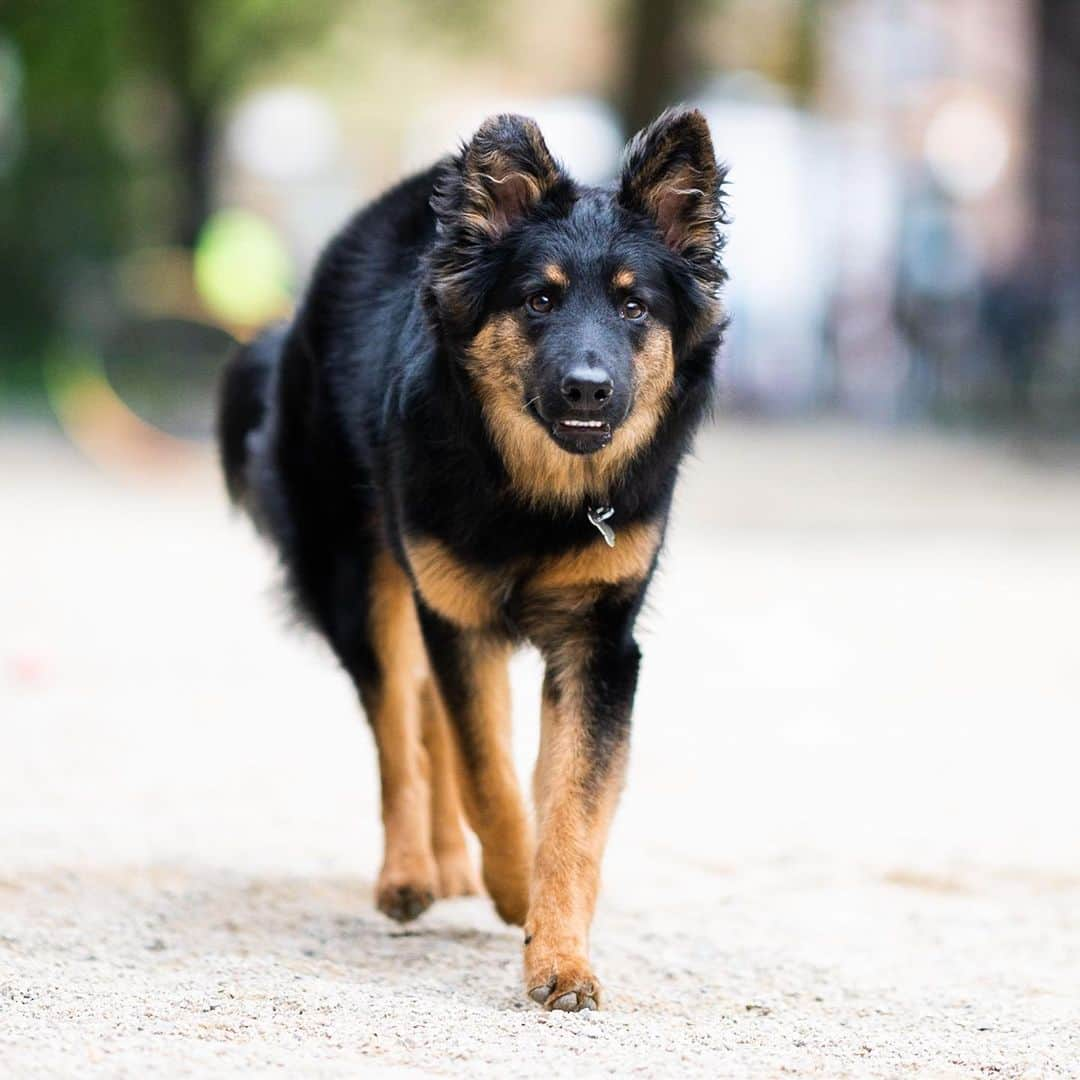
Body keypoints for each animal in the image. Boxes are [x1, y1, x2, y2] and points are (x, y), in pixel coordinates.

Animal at [217, 105, 725, 1006]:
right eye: (539, 299)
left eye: (635, 307)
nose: (588, 387)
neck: (535, 499)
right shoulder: (458, 619)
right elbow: (488, 777)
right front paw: (515, 888)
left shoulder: (598, 646)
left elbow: (571, 808)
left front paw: (560, 954)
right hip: (365, 586)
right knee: (399, 733)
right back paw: (411, 873)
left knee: (425, 721)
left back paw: (450, 866)